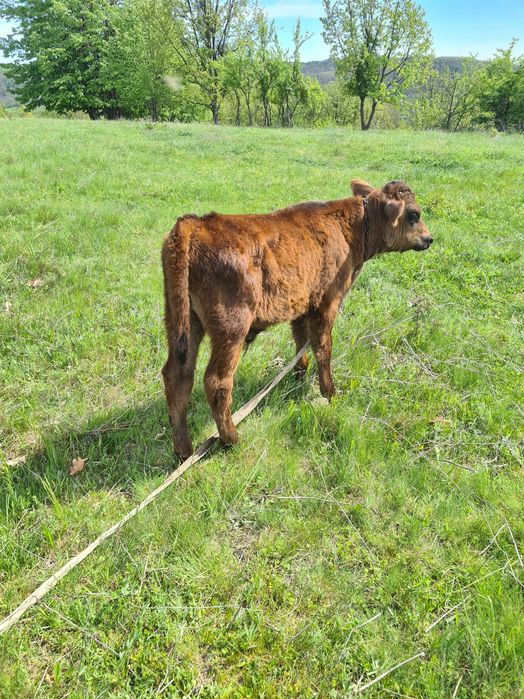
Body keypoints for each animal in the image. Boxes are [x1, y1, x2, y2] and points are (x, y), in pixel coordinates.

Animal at [161, 178, 433, 459]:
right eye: (413, 214)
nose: (429, 239)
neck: (351, 227)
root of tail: (194, 224)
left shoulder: (302, 306)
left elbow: (301, 342)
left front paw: (298, 377)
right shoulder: (327, 303)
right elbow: (323, 348)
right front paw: (330, 392)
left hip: (183, 321)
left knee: (177, 376)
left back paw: (184, 450)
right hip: (231, 327)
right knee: (217, 382)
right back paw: (231, 438)